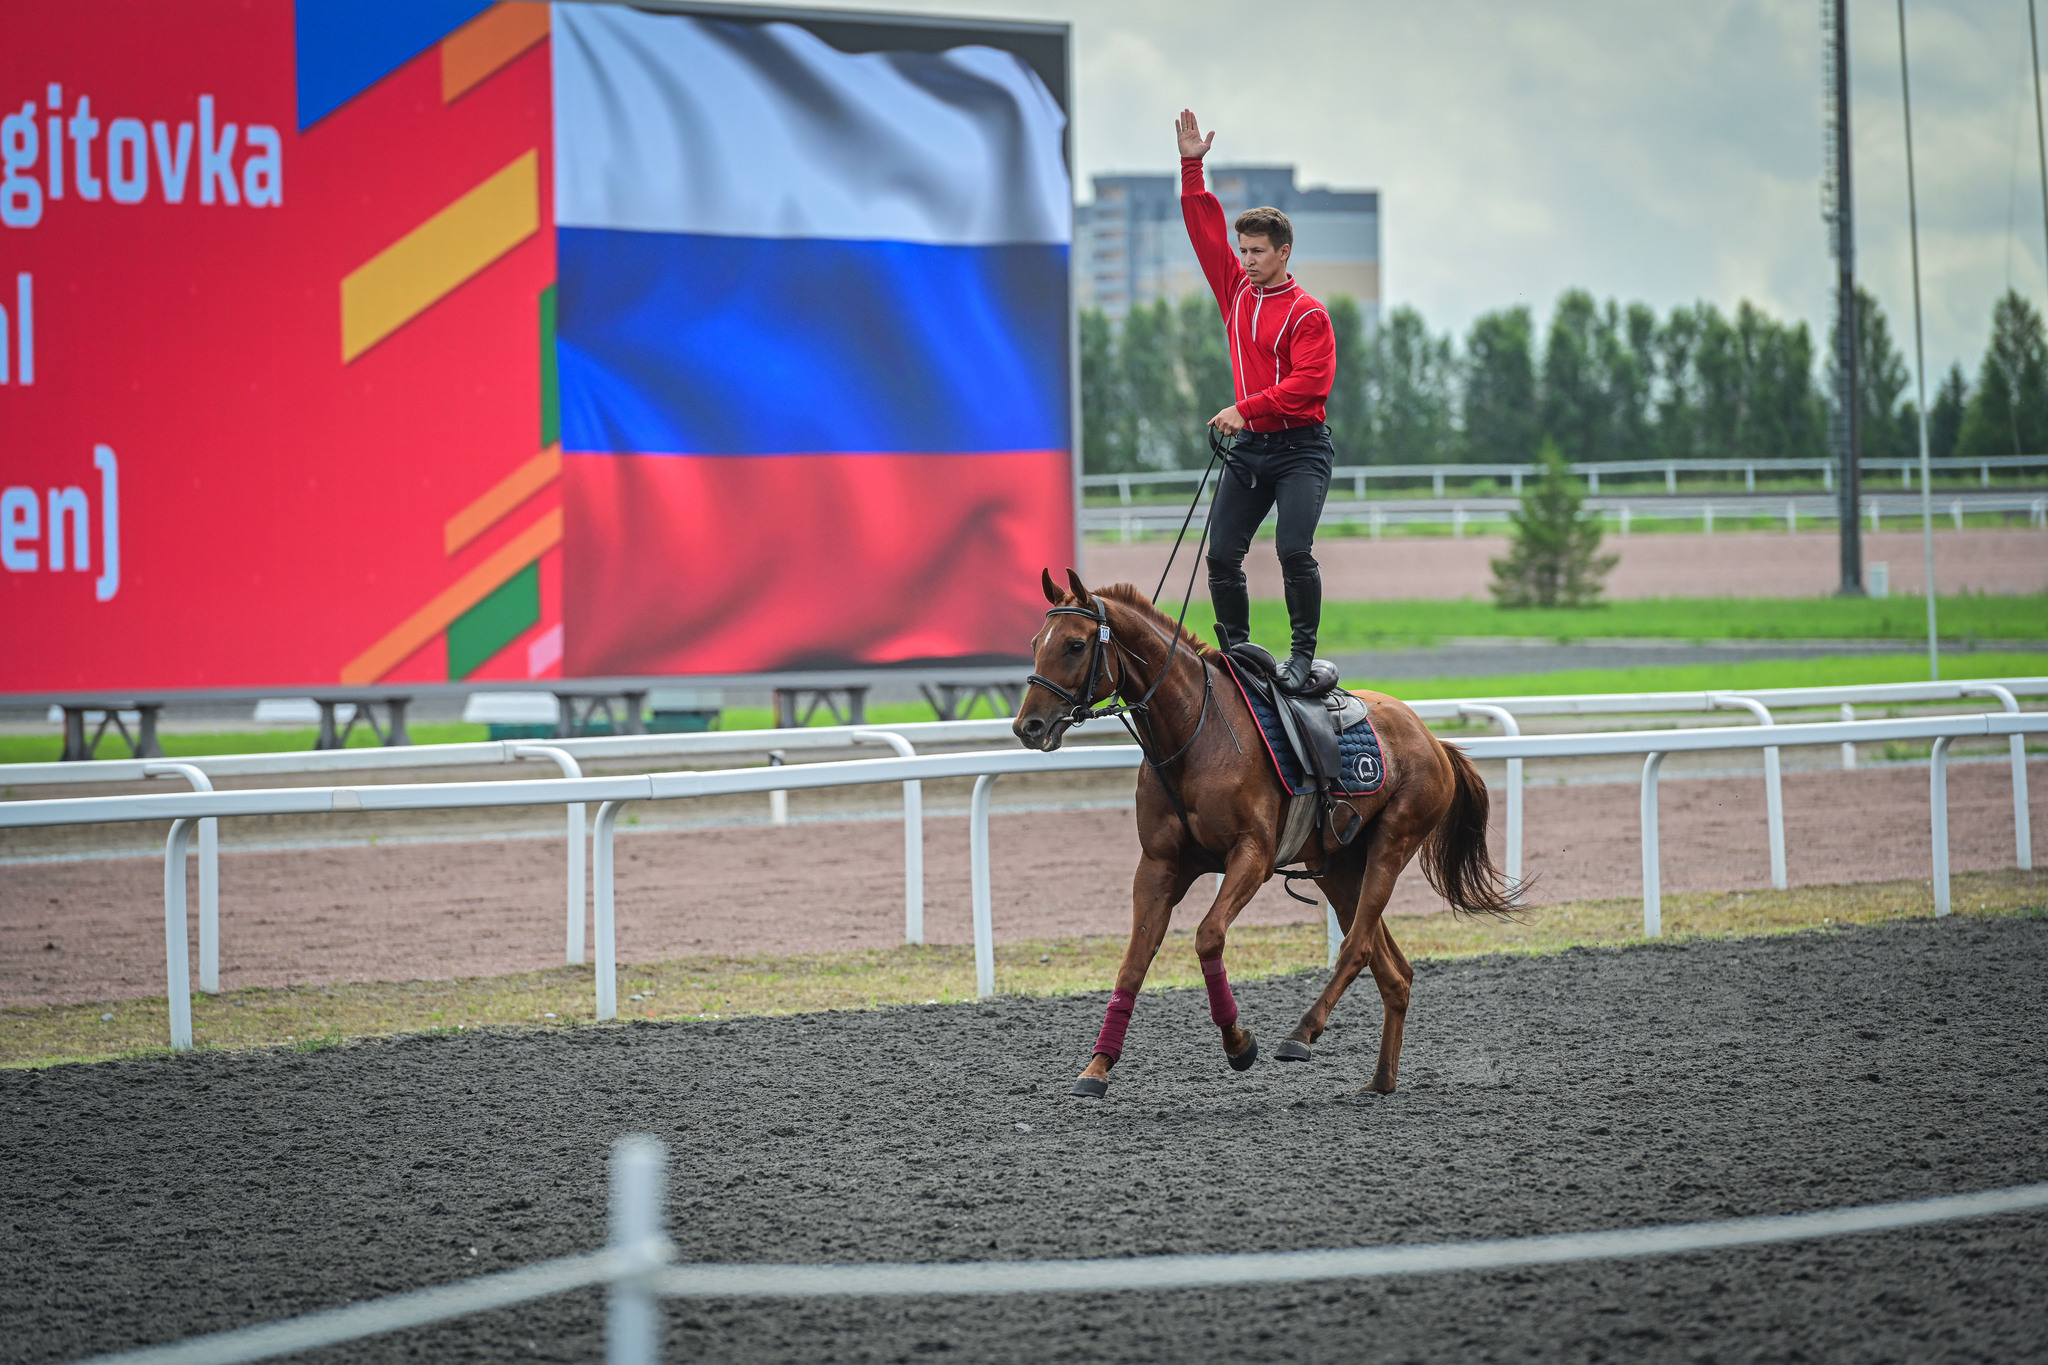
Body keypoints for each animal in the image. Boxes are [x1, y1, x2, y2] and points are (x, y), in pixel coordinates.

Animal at [1015, 568, 1515, 1096]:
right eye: (1035, 643)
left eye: (1074, 644)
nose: (1028, 726)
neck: (1194, 733)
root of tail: (1433, 739)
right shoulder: (1158, 865)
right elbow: (1133, 963)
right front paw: (1097, 1067)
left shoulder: (1252, 855)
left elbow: (1208, 936)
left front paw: (1238, 1044)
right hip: (1336, 869)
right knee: (1393, 971)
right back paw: (1381, 1080)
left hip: (1392, 844)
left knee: (1356, 947)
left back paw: (1301, 1034)